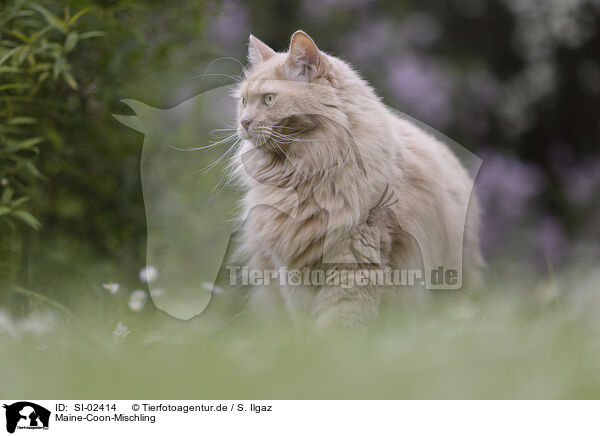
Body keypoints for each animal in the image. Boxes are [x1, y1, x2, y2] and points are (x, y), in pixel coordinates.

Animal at [226, 29, 482, 328]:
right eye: (243, 102)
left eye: (268, 99)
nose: (243, 122)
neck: (305, 173)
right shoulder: (292, 274)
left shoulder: (354, 262)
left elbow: (340, 325)